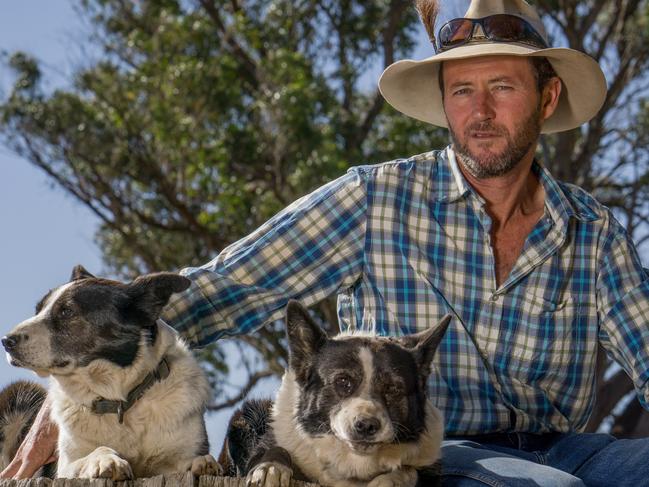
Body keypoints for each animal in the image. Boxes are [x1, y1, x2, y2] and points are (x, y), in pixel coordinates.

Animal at [1, 266, 221, 480]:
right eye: (38, 310)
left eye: (67, 311)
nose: (6, 341)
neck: (117, 399)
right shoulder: (64, 467)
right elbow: (95, 451)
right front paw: (106, 459)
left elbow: (185, 461)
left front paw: (200, 462)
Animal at [220, 302, 448, 487]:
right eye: (343, 382)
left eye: (392, 388)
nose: (367, 426)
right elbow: (277, 450)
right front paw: (269, 468)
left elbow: (409, 470)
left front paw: (391, 479)